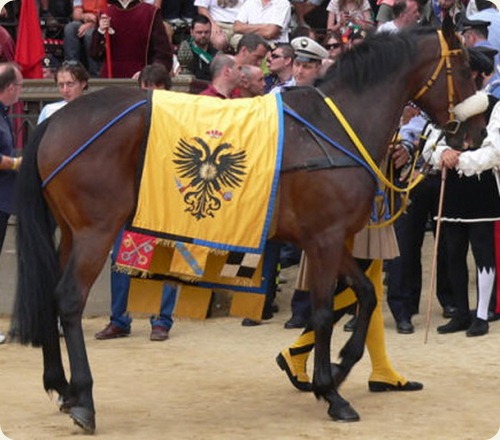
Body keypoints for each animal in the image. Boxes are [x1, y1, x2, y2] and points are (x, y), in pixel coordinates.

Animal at [14, 19, 484, 434]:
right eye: (465, 67)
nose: (476, 135)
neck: (335, 126)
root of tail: (55, 119)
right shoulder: (327, 239)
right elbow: (324, 311)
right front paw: (330, 390)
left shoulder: (326, 240)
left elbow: (365, 296)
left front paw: (335, 368)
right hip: (95, 233)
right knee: (69, 299)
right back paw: (84, 399)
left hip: (70, 233)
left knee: (51, 295)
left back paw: (62, 388)